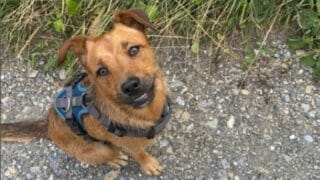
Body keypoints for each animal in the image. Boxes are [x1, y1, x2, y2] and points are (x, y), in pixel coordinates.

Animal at [0, 8, 170, 176]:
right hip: (99, 149)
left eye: (133, 50)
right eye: (102, 71)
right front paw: (148, 164)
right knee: (108, 154)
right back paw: (115, 158)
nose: (130, 86)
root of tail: (49, 125)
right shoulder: (129, 145)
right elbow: (139, 154)